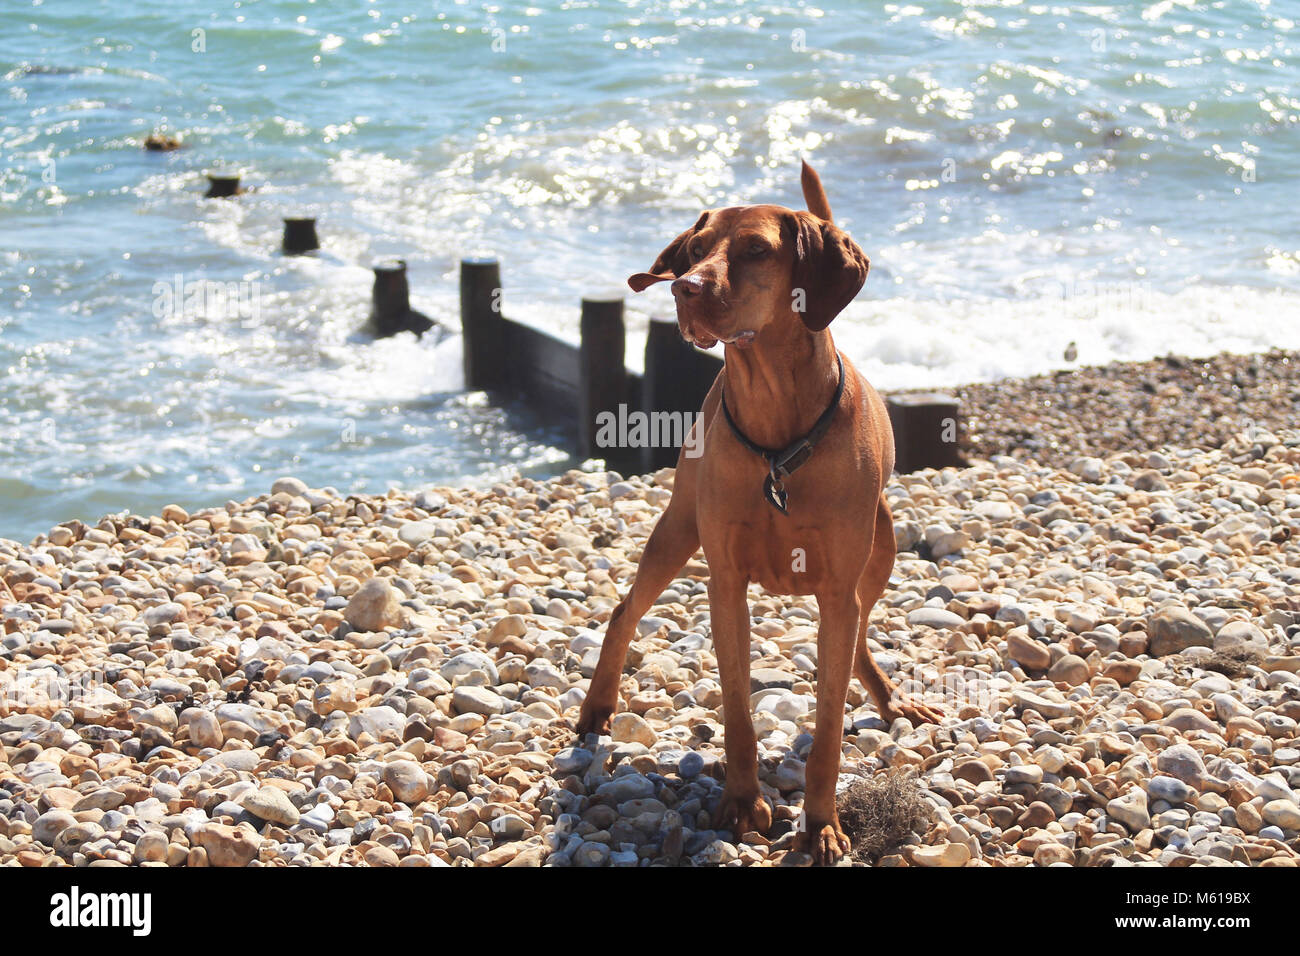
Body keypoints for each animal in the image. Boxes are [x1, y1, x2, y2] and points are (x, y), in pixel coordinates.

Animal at [574, 160, 941, 863]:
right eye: (693, 251)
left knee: (860, 627)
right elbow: (739, 710)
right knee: (625, 609)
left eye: (755, 250)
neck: (777, 429)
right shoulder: (726, 582)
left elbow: (829, 720)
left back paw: (889, 699)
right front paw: (743, 804)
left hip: (882, 544)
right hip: (678, 528)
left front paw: (821, 823)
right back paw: (597, 707)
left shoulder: (836, 586)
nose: (683, 288)